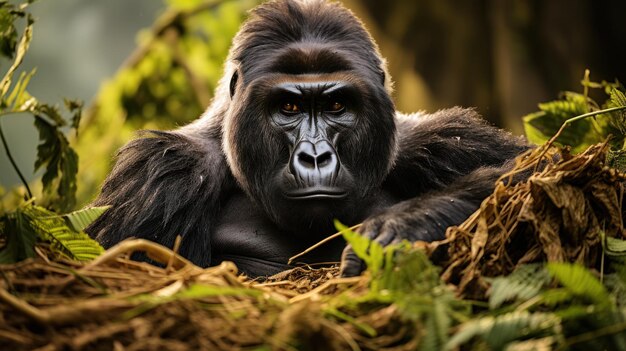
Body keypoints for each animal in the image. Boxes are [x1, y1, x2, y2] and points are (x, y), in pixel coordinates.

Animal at [86, 0, 528, 280]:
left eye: (335, 105)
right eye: (289, 107)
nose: (315, 157)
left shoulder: (444, 141)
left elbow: (531, 166)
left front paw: (406, 225)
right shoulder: (164, 170)